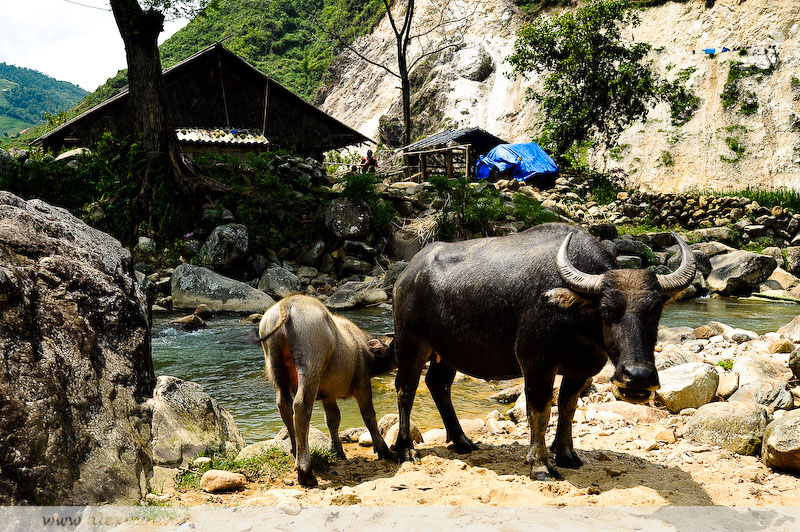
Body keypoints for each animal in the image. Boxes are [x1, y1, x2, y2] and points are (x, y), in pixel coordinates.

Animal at [392, 222, 692, 480]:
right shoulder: (537, 365)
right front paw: (540, 465)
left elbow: (568, 408)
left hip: (447, 354)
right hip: (411, 344)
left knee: (438, 384)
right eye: (607, 310)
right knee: (406, 389)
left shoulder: (580, 371)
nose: (638, 377)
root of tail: (406, 276)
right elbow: (540, 411)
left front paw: (567, 454)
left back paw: (462, 440)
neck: (576, 318)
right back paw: (405, 449)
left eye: (656, 310)